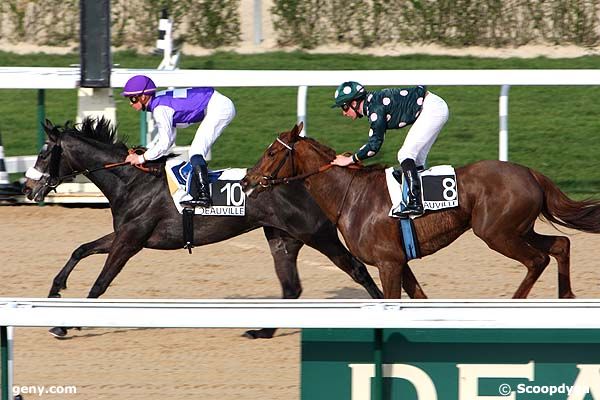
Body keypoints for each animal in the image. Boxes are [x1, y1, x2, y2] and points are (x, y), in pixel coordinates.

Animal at [23, 118, 426, 338]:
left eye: (43, 153)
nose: (27, 188)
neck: (132, 181)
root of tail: (308, 179)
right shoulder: (125, 234)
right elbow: (80, 250)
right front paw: (56, 290)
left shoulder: (131, 240)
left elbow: (100, 283)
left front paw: (65, 323)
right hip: (282, 238)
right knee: (291, 287)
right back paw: (263, 330)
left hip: (317, 235)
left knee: (357, 269)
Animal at [241, 123, 600, 298]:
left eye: (271, 152)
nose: (246, 181)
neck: (351, 195)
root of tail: (530, 173)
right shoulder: (399, 261)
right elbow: (418, 297)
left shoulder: (388, 263)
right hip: (517, 229)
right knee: (560, 244)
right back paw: (566, 295)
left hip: (496, 233)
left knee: (537, 259)